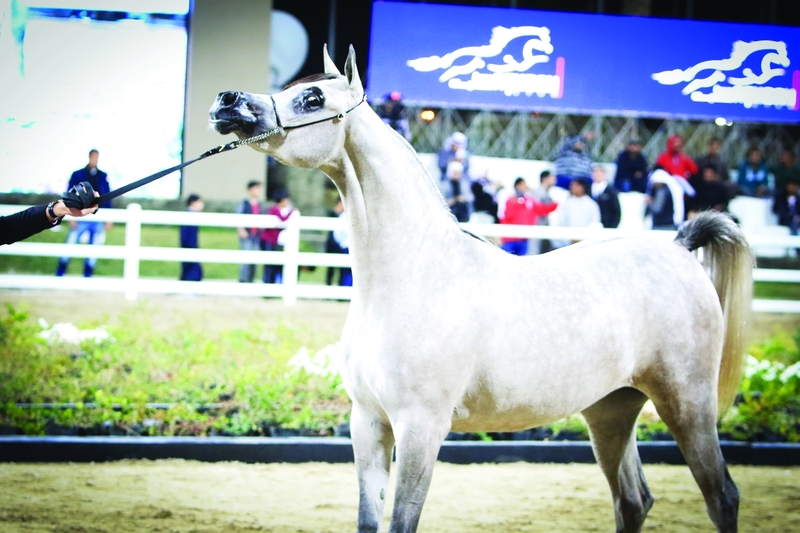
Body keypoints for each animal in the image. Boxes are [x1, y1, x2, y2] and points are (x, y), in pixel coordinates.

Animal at [209, 46, 752, 532]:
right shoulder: (367, 424)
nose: (227, 101)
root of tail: (679, 249)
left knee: (722, 496)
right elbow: (368, 519)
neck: (413, 277)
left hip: (687, 404)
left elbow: (402, 520)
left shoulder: (421, 428)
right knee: (634, 500)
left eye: (313, 97)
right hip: (611, 409)